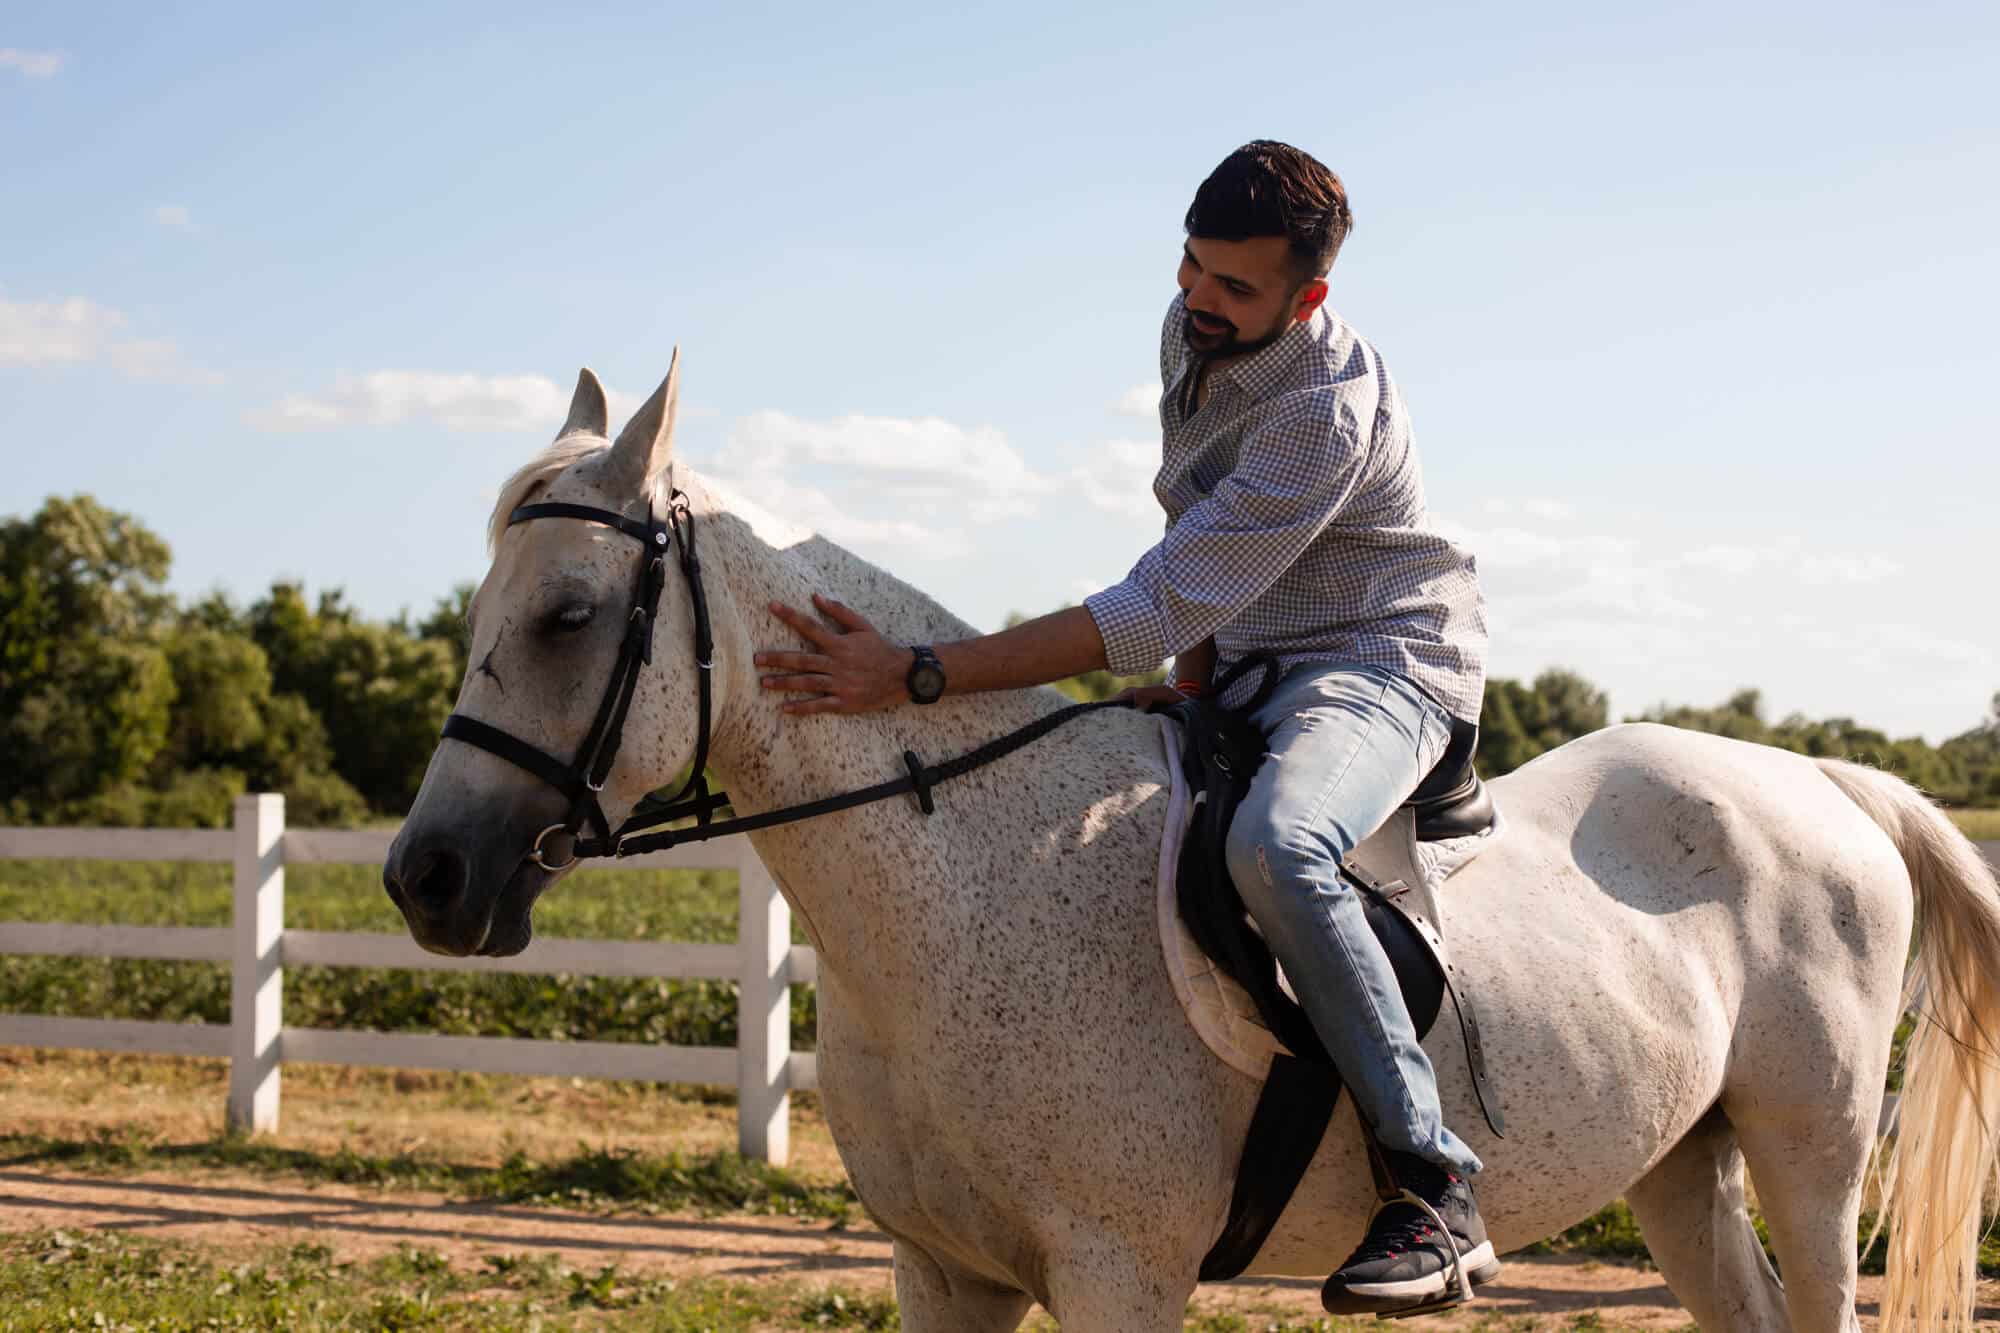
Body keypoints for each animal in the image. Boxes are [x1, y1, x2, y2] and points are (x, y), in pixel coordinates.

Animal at [386, 358, 2000, 1320]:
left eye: (569, 614)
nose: (427, 876)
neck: (959, 879)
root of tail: (1824, 783)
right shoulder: (945, 1273)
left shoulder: (1119, 1273)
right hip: (1679, 1166)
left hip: (1810, 1158)